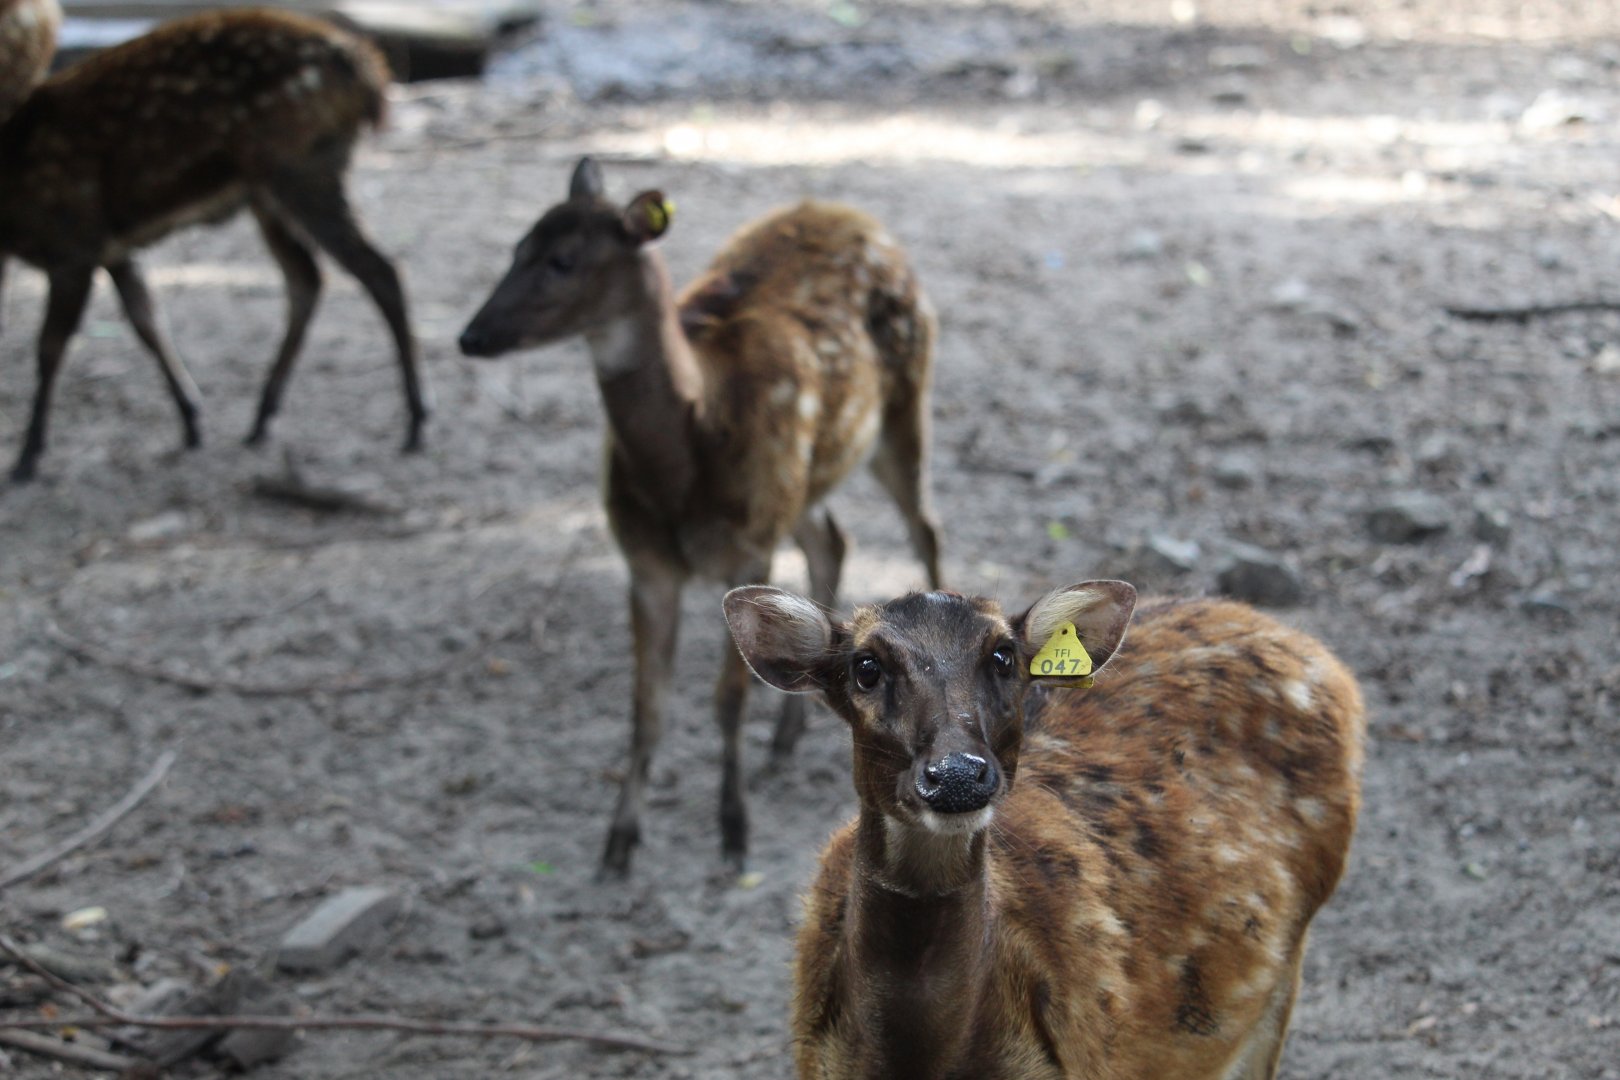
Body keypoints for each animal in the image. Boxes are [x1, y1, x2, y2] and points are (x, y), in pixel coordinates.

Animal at [0, 8, 426, 483]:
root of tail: (367, 71)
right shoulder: (114, 250)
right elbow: (147, 320)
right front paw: (191, 420)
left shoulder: (74, 243)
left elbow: (50, 347)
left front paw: (27, 456)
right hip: (270, 191)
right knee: (307, 277)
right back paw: (261, 418)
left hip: (302, 168)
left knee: (378, 270)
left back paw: (414, 421)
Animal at [459, 158, 944, 877]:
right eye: (518, 246)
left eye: (563, 259)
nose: (472, 336)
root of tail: (864, 222)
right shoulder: (647, 562)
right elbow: (647, 707)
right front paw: (618, 841)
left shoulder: (748, 547)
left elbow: (726, 699)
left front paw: (733, 831)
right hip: (800, 483)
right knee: (832, 540)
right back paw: (788, 737)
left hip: (902, 401)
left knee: (924, 528)